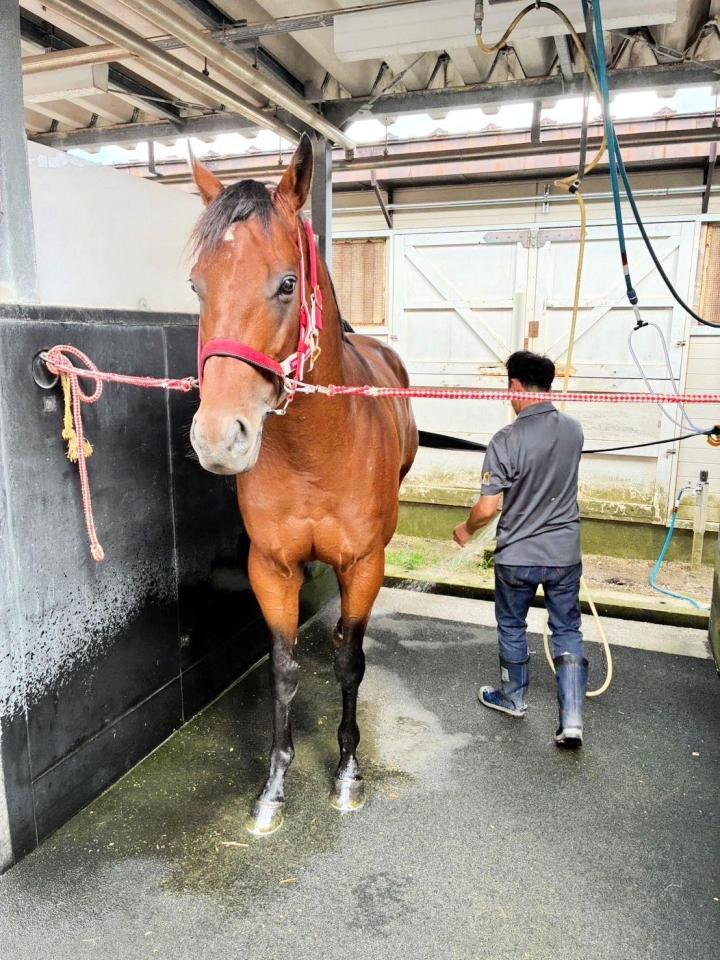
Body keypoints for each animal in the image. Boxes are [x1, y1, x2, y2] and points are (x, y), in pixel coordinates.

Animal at [188, 134, 418, 835]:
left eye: (287, 283)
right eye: (197, 285)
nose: (219, 438)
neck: (317, 451)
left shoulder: (364, 564)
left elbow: (349, 663)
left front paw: (346, 771)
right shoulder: (272, 568)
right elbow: (283, 669)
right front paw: (273, 786)